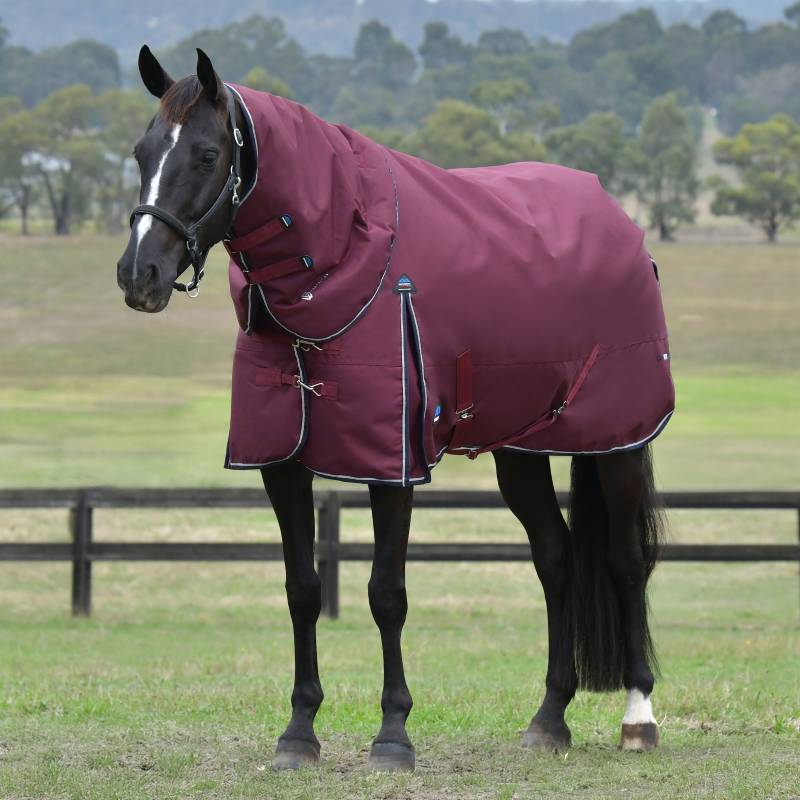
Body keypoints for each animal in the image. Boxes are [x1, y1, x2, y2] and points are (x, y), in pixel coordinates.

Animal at [116, 46, 673, 771]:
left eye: (208, 154)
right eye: (141, 151)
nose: (139, 275)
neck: (341, 260)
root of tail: (620, 225)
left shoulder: (392, 463)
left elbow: (387, 593)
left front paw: (393, 735)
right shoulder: (281, 463)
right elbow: (302, 588)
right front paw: (299, 733)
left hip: (617, 442)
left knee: (626, 561)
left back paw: (639, 717)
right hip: (522, 448)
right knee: (555, 556)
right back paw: (549, 719)